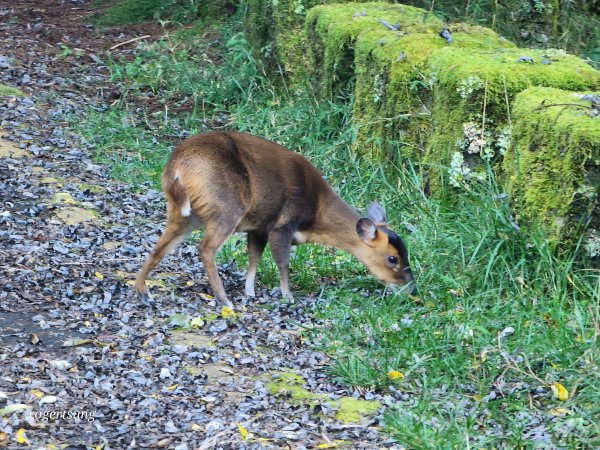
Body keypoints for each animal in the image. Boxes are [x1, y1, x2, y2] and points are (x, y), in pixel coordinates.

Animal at [135, 130, 418, 308]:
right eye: (392, 258)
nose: (411, 289)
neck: (315, 215)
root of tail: (176, 167)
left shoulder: (259, 227)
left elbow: (253, 258)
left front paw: (250, 291)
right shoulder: (283, 225)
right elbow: (282, 262)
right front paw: (288, 296)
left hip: (184, 214)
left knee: (161, 246)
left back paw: (143, 291)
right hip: (227, 207)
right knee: (205, 248)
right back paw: (224, 300)